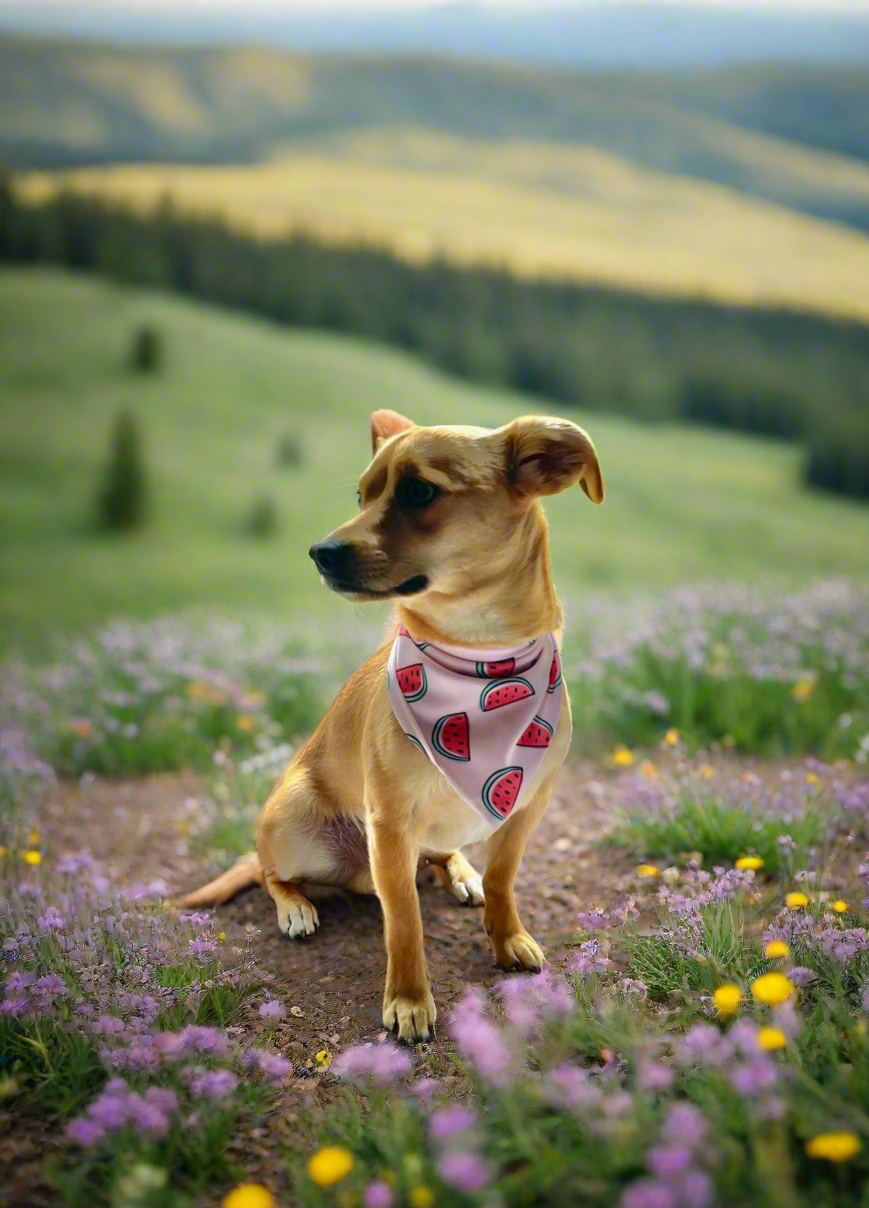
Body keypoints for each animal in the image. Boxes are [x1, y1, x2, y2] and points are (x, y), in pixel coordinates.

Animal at [181, 413, 604, 1038]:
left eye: (419, 491)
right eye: (361, 495)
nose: (319, 552)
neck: (482, 659)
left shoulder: (528, 805)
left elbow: (502, 879)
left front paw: (506, 935)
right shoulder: (391, 821)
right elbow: (403, 919)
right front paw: (408, 997)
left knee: (441, 856)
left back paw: (459, 871)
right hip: (293, 820)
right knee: (267, 871)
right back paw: (296, 906)